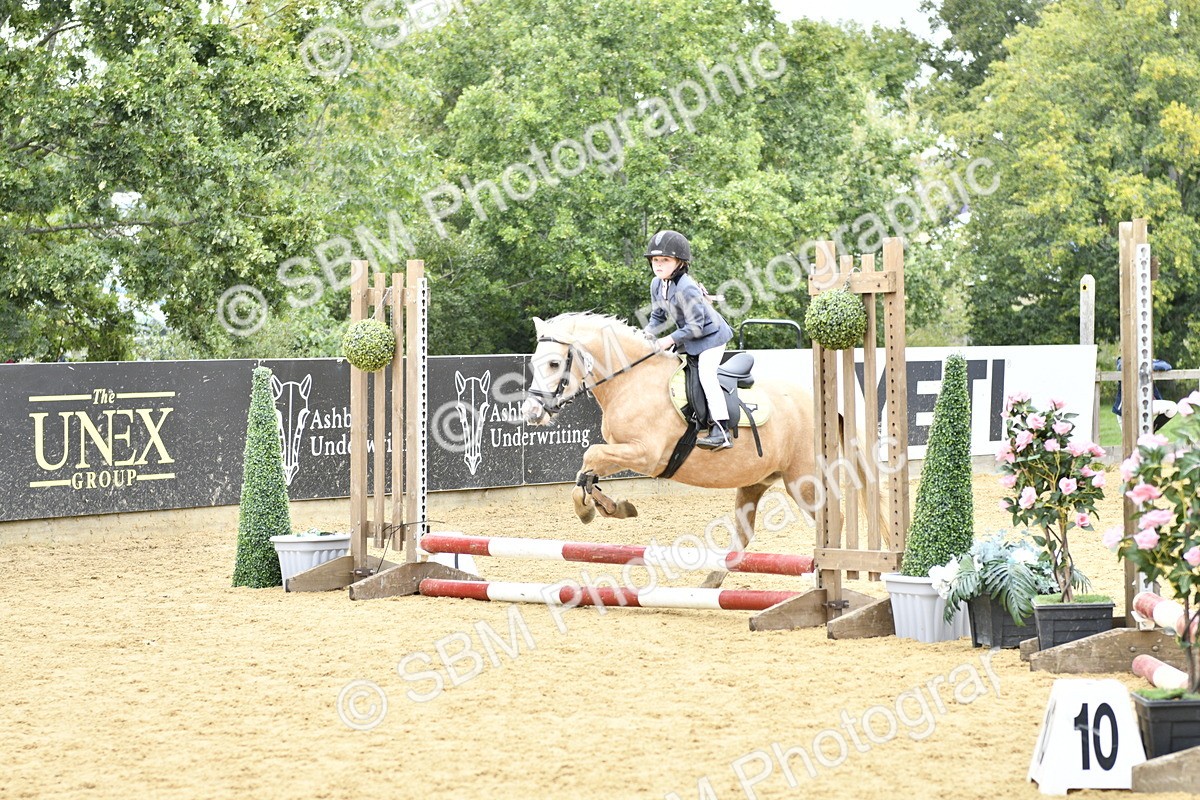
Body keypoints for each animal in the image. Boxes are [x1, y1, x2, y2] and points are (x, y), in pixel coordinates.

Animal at [520, 312, 878, 587]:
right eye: (534, 362)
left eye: (554, 363)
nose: (531, 413)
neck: (633, 380)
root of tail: (826, 406)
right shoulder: (622, 450)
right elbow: (587, 473)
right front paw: (610, 507)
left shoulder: (645, 454)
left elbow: (590, 456)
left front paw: (593, 509)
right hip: (756, 481)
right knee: (744, 534)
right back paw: (713, 579)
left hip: (802, 481)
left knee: (833, 518)